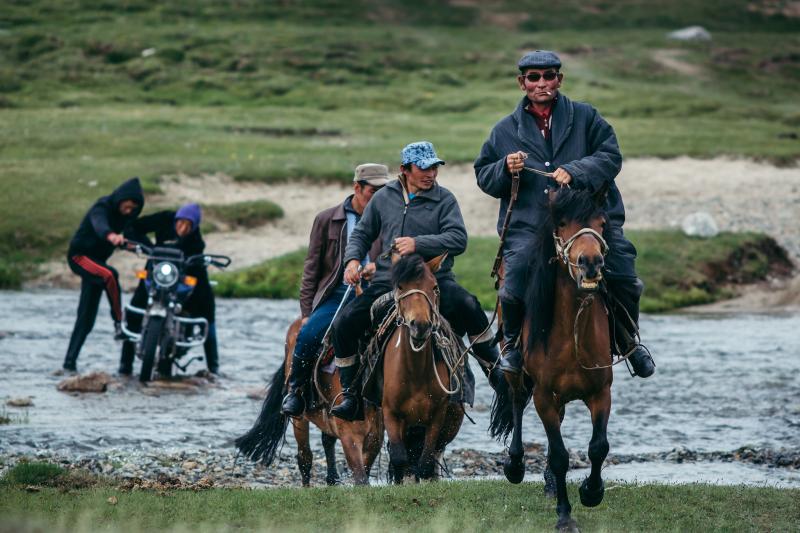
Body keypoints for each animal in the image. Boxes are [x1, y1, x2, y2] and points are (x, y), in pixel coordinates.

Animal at [234, 316, 384, 486]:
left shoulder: (375, 439)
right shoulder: (349, 437)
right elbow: (360, 478)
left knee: (326, 441)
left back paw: (332, 479)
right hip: (300, 418)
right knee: (304, 457)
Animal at [384, 254, 466, 482]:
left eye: (435, 287)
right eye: (400, 286)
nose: (420, 325)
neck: (415, 373)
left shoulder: (437, 417)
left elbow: (425, 463)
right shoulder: (391, 414)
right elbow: (399, 459)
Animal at [496, 185, 616, 528]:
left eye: (602, 223)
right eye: (561, 224)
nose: (591, 262)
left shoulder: (601, 392)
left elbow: (598, 447)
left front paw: (592, 491)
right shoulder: (544, 396)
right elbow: (560, 455)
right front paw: (564, 516)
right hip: (518, 376)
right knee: (516, 403)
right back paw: (515, 465)